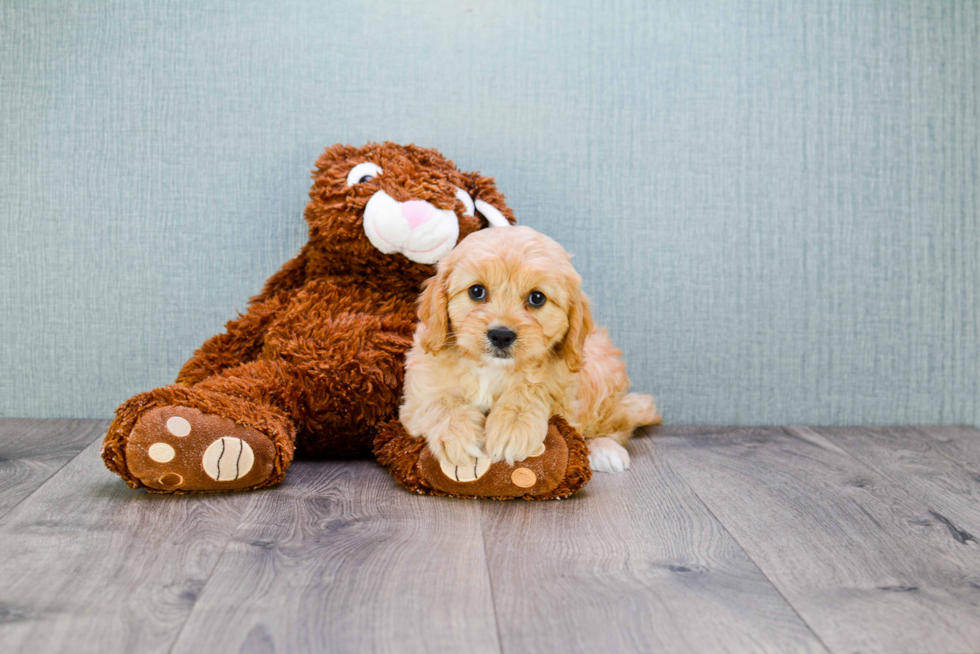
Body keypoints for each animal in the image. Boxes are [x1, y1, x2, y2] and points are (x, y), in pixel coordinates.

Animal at [396, 226, 660, 472]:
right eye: (476, 291)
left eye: (537, 298)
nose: (501, 335)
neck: (492, 369)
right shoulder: (416, 393)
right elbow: (437, 401)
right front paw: (458, 434)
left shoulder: (564, 392)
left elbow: (533, 387)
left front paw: (513, 426)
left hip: (601, 374)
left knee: (617, 421)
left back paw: (605, 449)